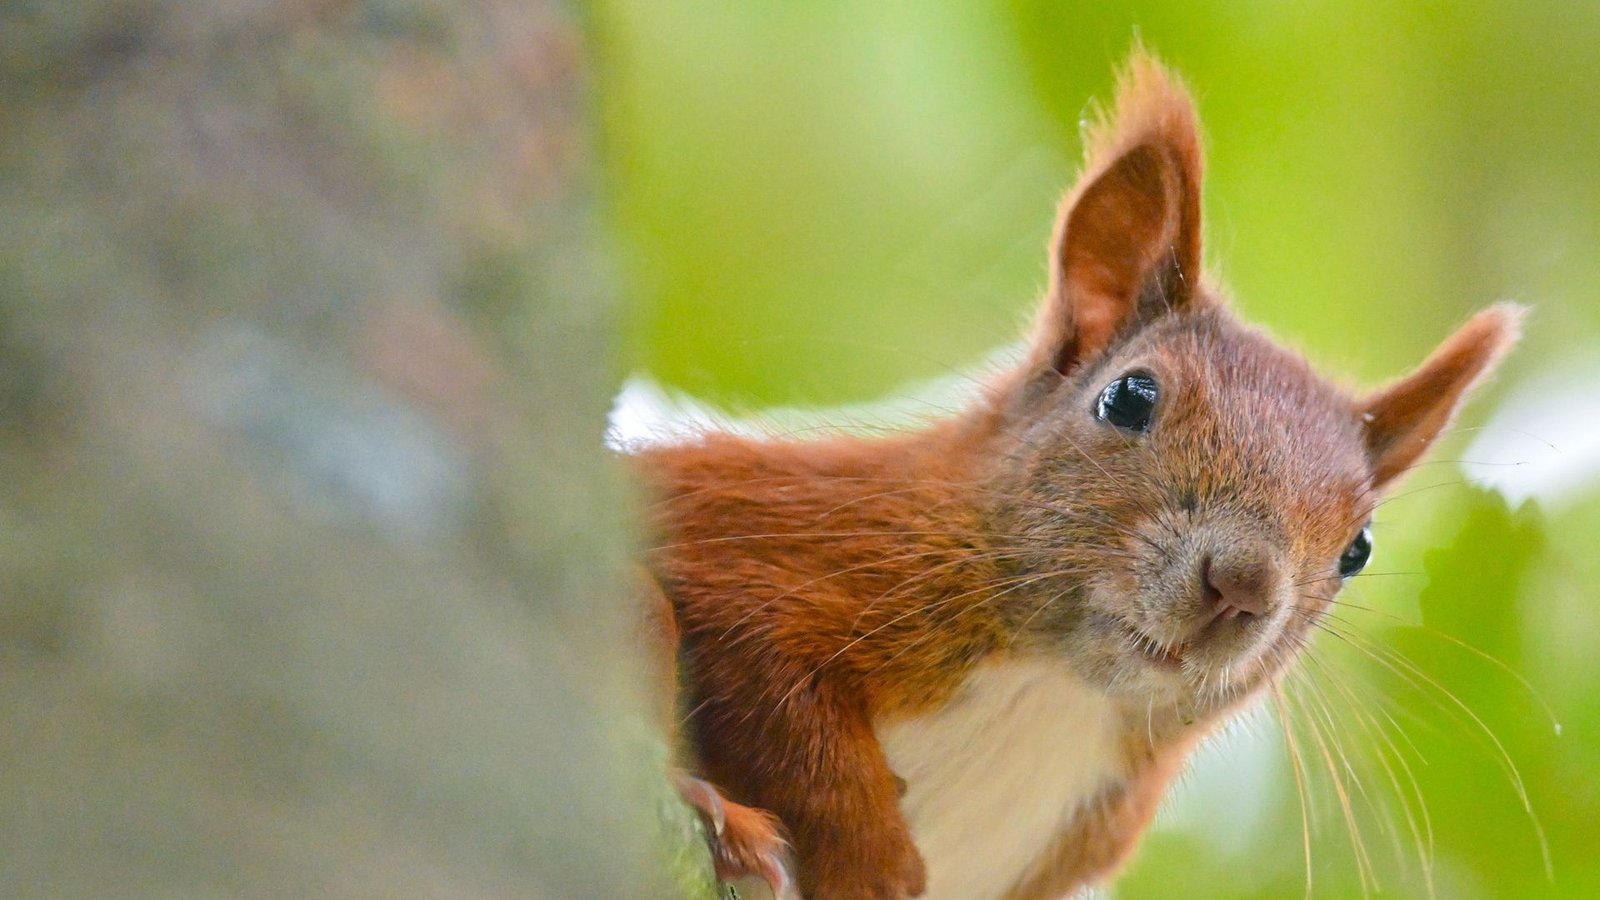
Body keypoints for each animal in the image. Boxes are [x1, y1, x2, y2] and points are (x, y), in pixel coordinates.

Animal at [631, 51, 1521, 900]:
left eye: (1358, 548)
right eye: (1129, 397)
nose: (1242, 584)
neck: (1059, 690)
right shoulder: (776, 534)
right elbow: (775, 688)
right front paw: (870, 859)